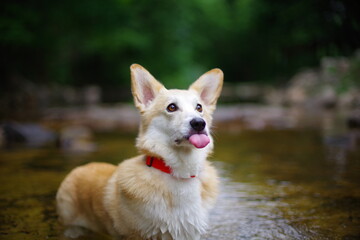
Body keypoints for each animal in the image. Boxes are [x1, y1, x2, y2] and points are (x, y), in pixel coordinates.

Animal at [56, 63, 224, 240]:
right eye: (171, 107)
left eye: (199, 107)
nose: (199, 123)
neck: (180, 172)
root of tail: (82, 167)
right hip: (72, 227)